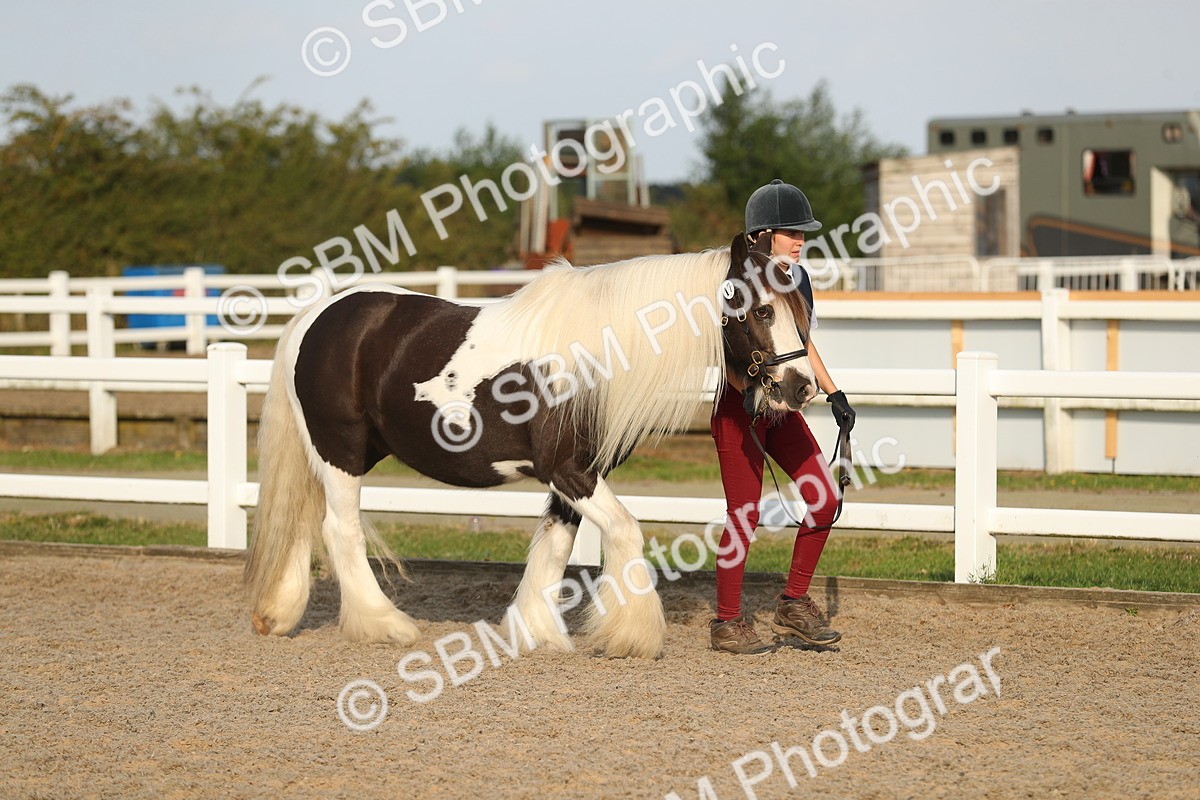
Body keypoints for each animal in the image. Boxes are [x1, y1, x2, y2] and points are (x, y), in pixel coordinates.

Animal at [243, 232, 816, 659]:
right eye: (762, 311)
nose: (800, 387)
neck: (598, 353)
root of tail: (319, 315)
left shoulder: (578, 473)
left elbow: (556, 544)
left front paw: (536, 631)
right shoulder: (568, 470)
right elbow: (625, 531)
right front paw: (631, 635)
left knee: (302, 520)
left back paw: (280, 613)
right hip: (340, 452)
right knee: (340, 531)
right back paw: (384, 624)